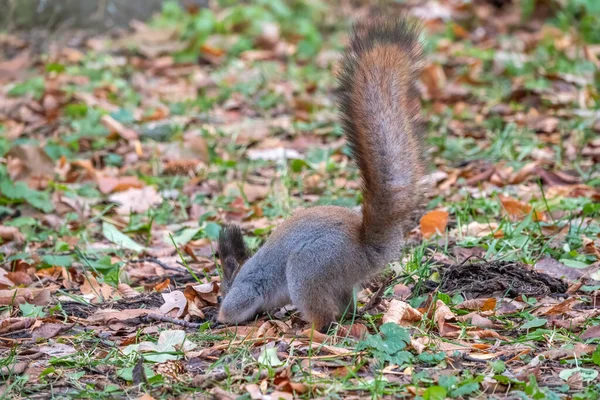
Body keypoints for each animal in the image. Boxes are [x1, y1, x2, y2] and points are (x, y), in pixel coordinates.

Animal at [216, 15, 426, 330]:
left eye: (221, 293)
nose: (217, 301)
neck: (242, 272)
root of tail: (364, 249)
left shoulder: (247, 289)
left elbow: (237, 304)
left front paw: (221, 316)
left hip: (309, 268)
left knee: (324, 317)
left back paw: (309, 329)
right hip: (337, 280)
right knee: (345, 307)